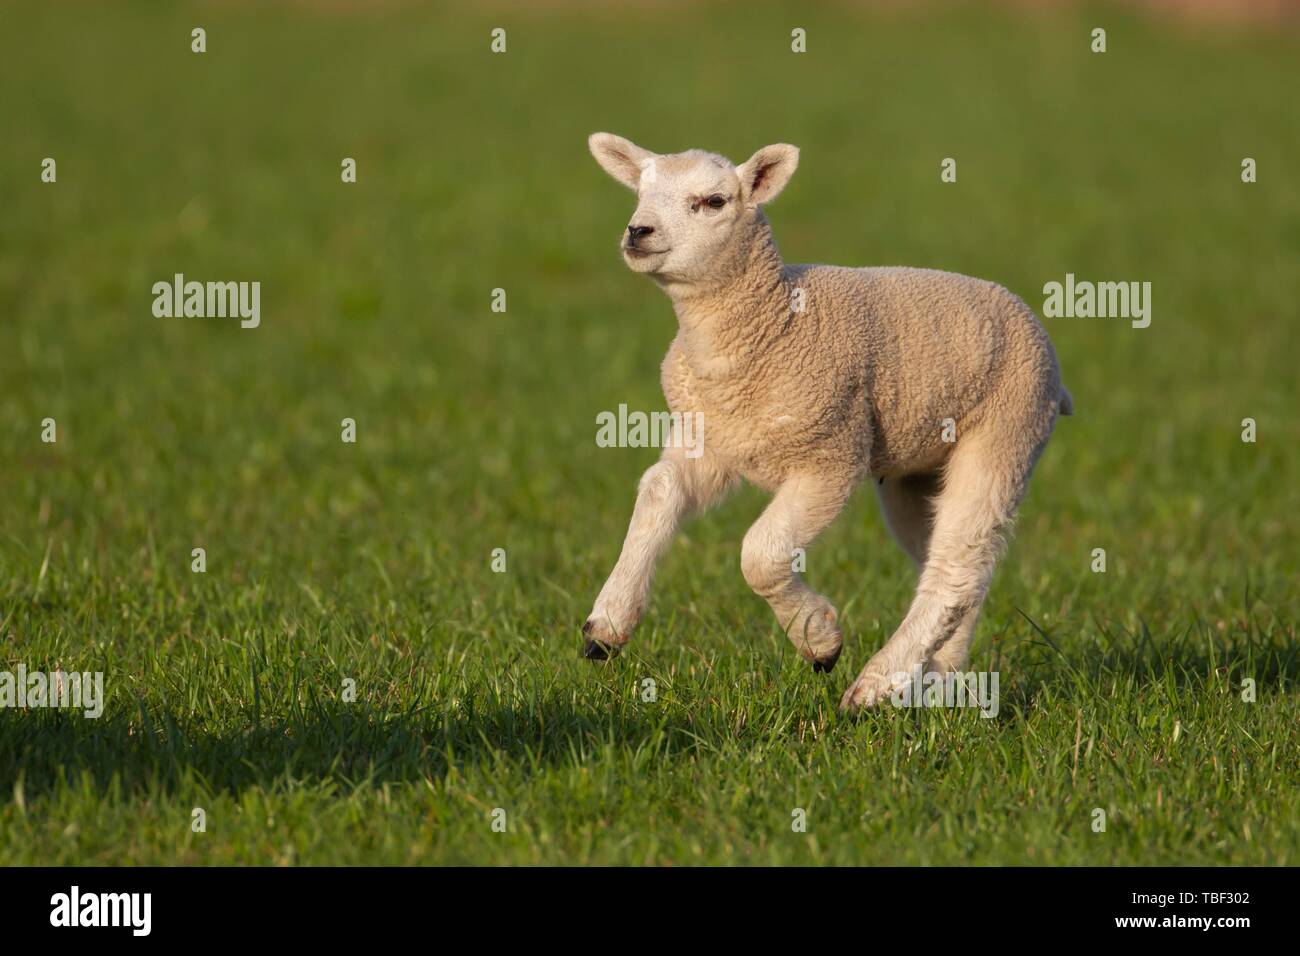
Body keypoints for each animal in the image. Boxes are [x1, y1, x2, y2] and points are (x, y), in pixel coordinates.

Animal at [585, 134, 1071, 712]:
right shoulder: (712, 439)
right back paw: (937, 681)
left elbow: (760, 553)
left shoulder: (831, 455)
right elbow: (658, 490)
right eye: (640, 191)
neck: (770, 325)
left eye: (714, 202)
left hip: (1007, 430)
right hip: (918, 469)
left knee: (957, 568)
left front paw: (818, 640)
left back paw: (874, 686)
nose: (638, 232)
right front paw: (605, 627)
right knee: (954, 569)